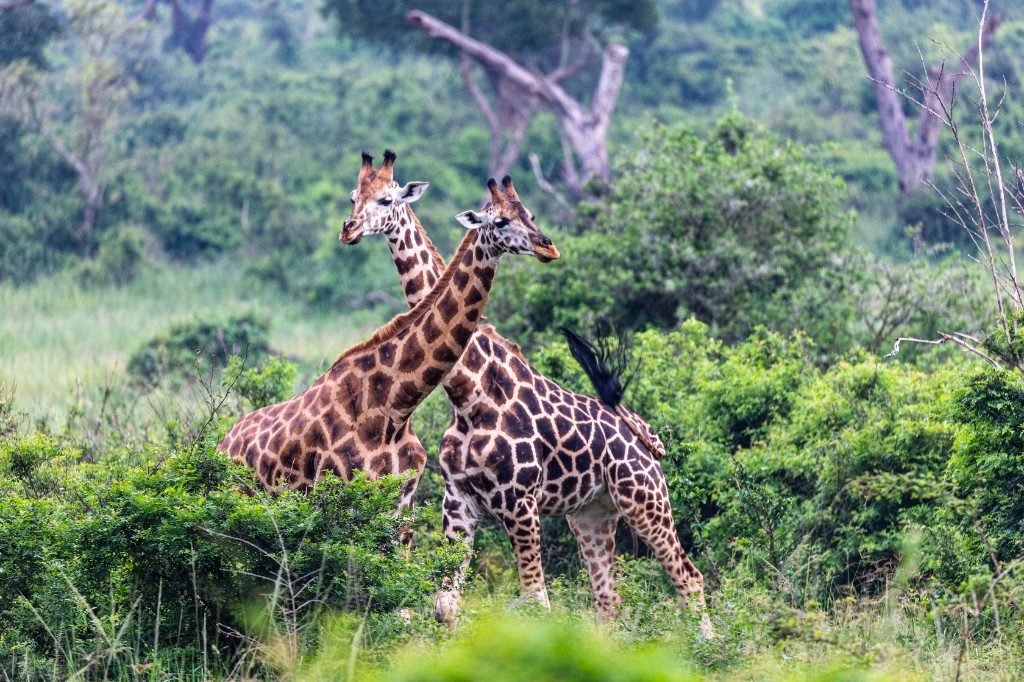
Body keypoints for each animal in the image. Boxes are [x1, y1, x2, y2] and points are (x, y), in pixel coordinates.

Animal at [218, 160, 559, 550]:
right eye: (500, 221)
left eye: (529, 213)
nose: (548, 247)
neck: (394, 407)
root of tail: (221, 444)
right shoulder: (340, 497)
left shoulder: (403, 508)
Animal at [340, 151, 713, 638]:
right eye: (354, 196)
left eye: (528, 213)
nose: (547, 246)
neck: (467, 391)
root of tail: (647, 437)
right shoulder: (459, 500)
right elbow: (445, 603)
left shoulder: (520, 502)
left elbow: (536, 602)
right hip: (593, 512)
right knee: (609, 599)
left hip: (645, 499)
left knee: (689, 577)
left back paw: (711, 648)